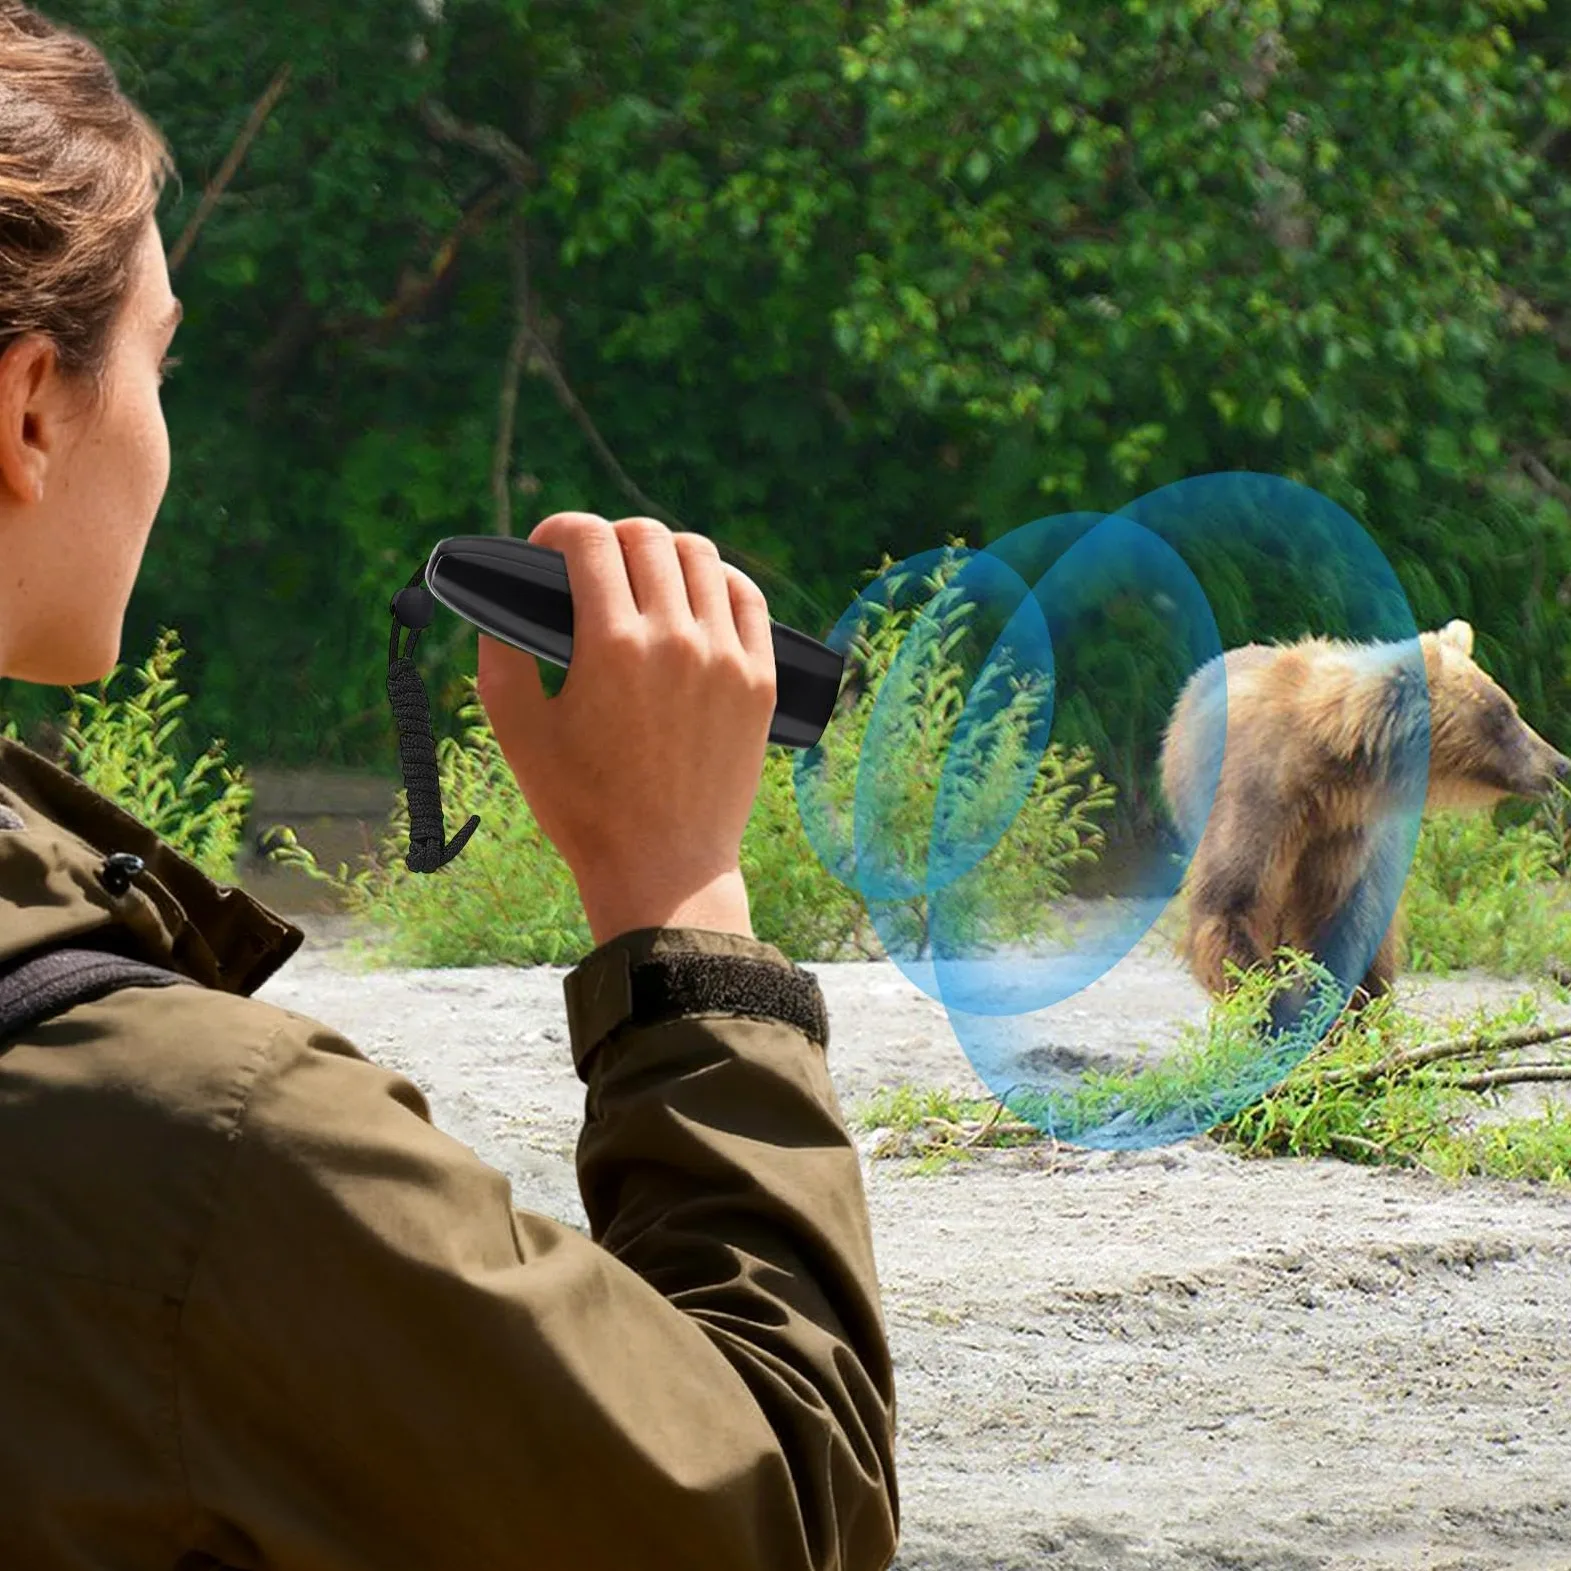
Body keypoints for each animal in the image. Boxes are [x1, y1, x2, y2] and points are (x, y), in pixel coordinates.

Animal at [1159, 619, 1570, 1014]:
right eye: (1502, 714)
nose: (1559, 763)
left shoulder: (1344, 831)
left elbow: (1337, 924)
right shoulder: (1258, 800)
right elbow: (1229, 907)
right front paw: (1272, 1008)